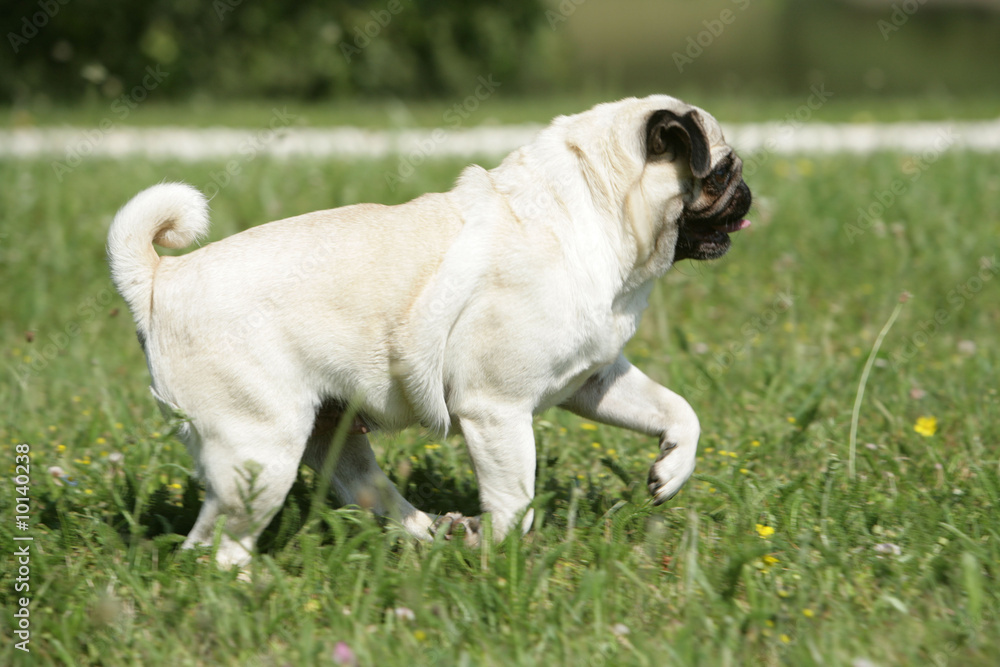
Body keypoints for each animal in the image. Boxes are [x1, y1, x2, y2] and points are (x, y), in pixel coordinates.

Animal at [107, 94, 752, 568]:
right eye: (721, 171)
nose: (748, 194)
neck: (590, 213)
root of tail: (160, 280)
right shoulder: (495, 409)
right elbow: (515, 497)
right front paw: (500, 558)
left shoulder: (595, 381)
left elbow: (677, 410)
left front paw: (671, 470)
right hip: (259, 453)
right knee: (213, 548)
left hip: (329, 433)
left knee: (369, 491)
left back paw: (432, 534)